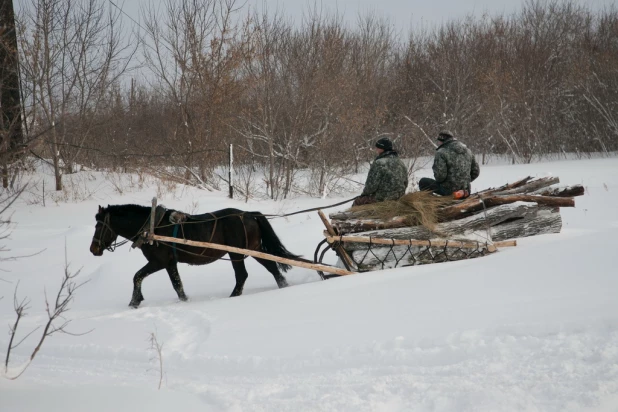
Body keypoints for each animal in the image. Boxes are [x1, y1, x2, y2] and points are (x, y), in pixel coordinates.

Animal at [89, 204, 298, 308]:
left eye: (99, 226)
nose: (93, 249)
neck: (153, 228)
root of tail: (248, 214)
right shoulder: (170, 263)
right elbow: (177, 285)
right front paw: (184, 302)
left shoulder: (158, 262)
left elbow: (137, 276)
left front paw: (134, 302)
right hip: (252, 249)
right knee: (271, 267)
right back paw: (283, 286)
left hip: (237, 253)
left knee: (242, 275)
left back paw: (232, 297)